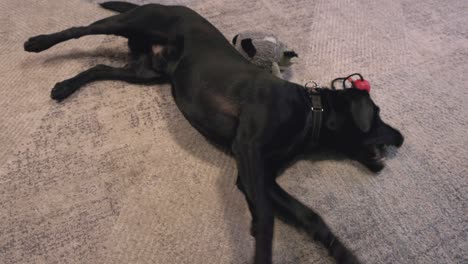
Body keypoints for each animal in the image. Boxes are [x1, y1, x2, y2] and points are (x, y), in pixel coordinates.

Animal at [23, 1, 404, 262]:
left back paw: (65, 87)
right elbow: (266, 217)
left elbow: (309, 215)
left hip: (146, 72)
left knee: (98, 67)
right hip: (129, 22)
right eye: (378, 115)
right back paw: (37, 43)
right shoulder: (248, 152)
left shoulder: (260, 175)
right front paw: (261, 251)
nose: (401, 137)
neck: (309, 112)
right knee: (78, 29)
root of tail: (167, 4)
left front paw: (341, 252)